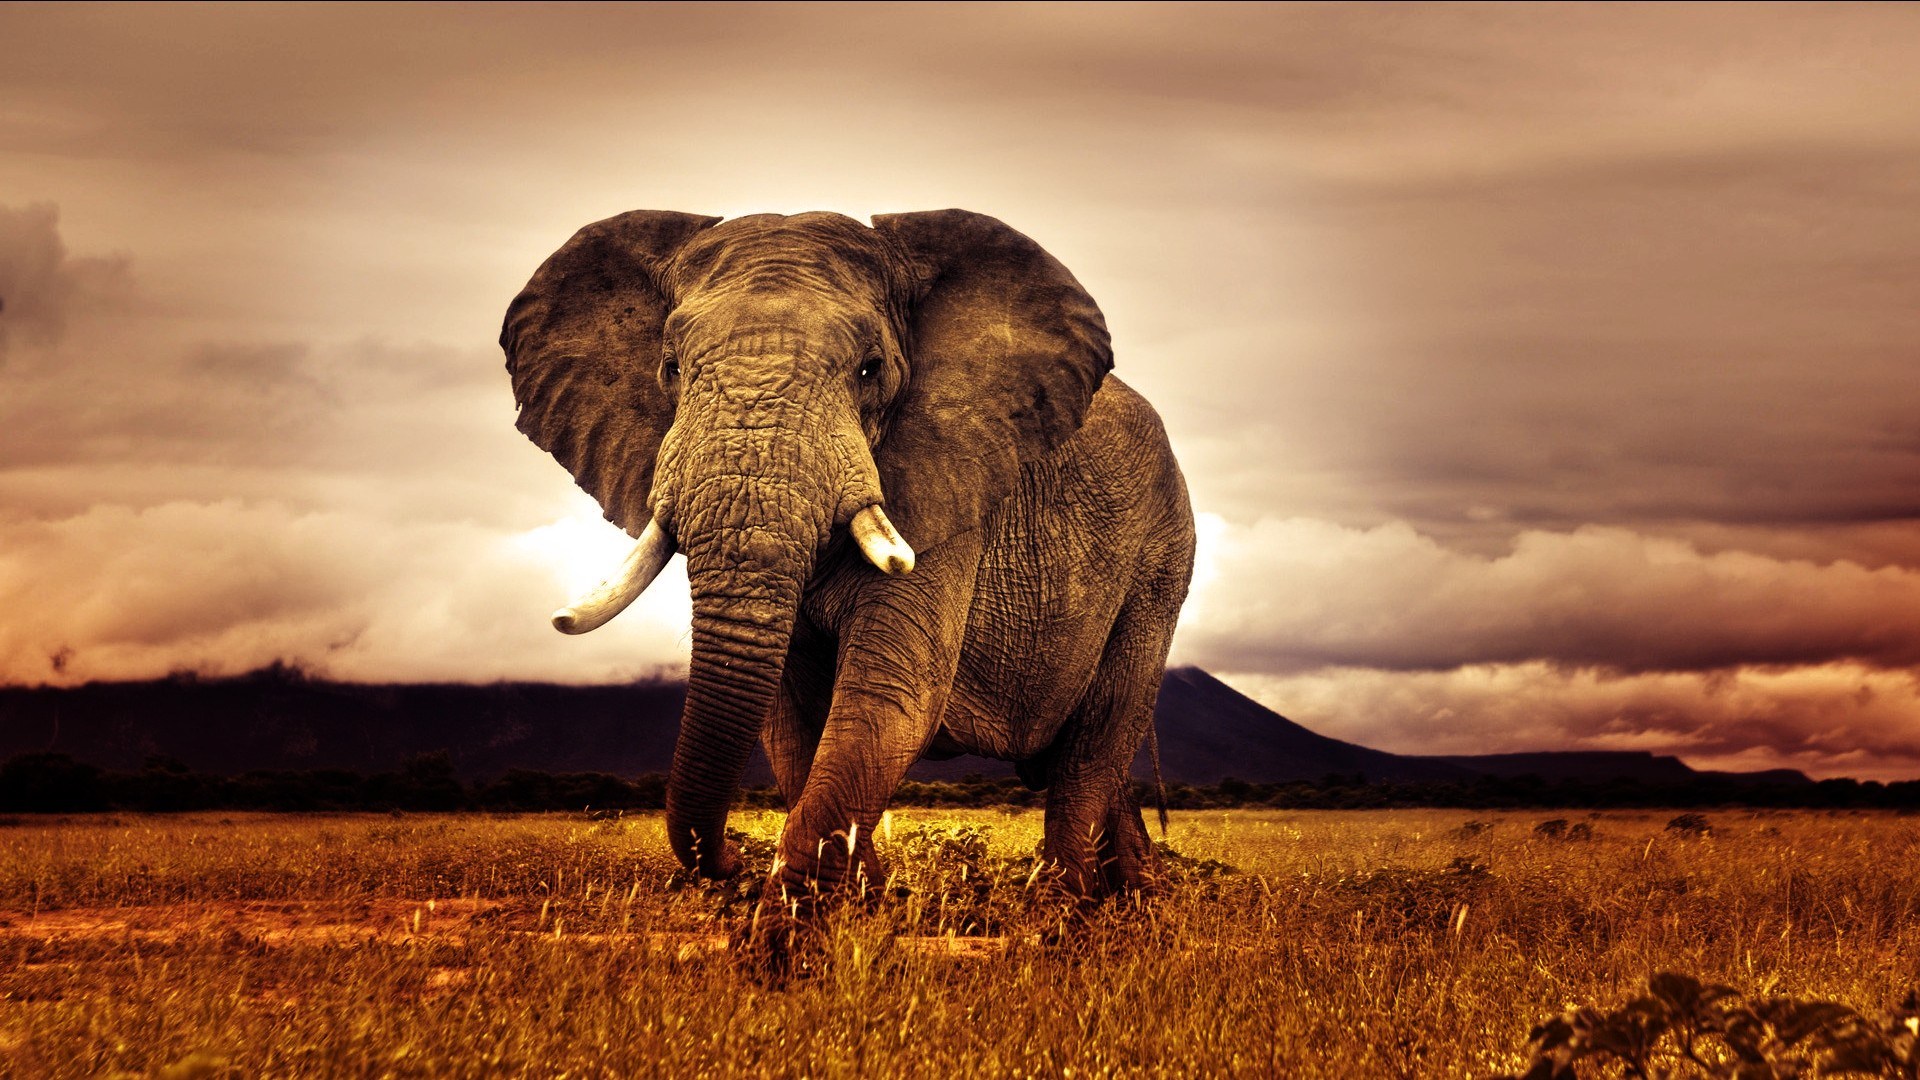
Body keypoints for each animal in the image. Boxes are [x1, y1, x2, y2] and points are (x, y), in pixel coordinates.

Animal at [500, 209, 1194, 898]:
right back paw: (1133, 898)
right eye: (670, 367)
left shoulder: (948, 491)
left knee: (1094, 746)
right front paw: (862, 903)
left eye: (870, 370)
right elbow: (791, 723)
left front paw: (803, 911)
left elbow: (887, 697)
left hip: (1160, 565)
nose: (732, 861)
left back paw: (1067, 908)